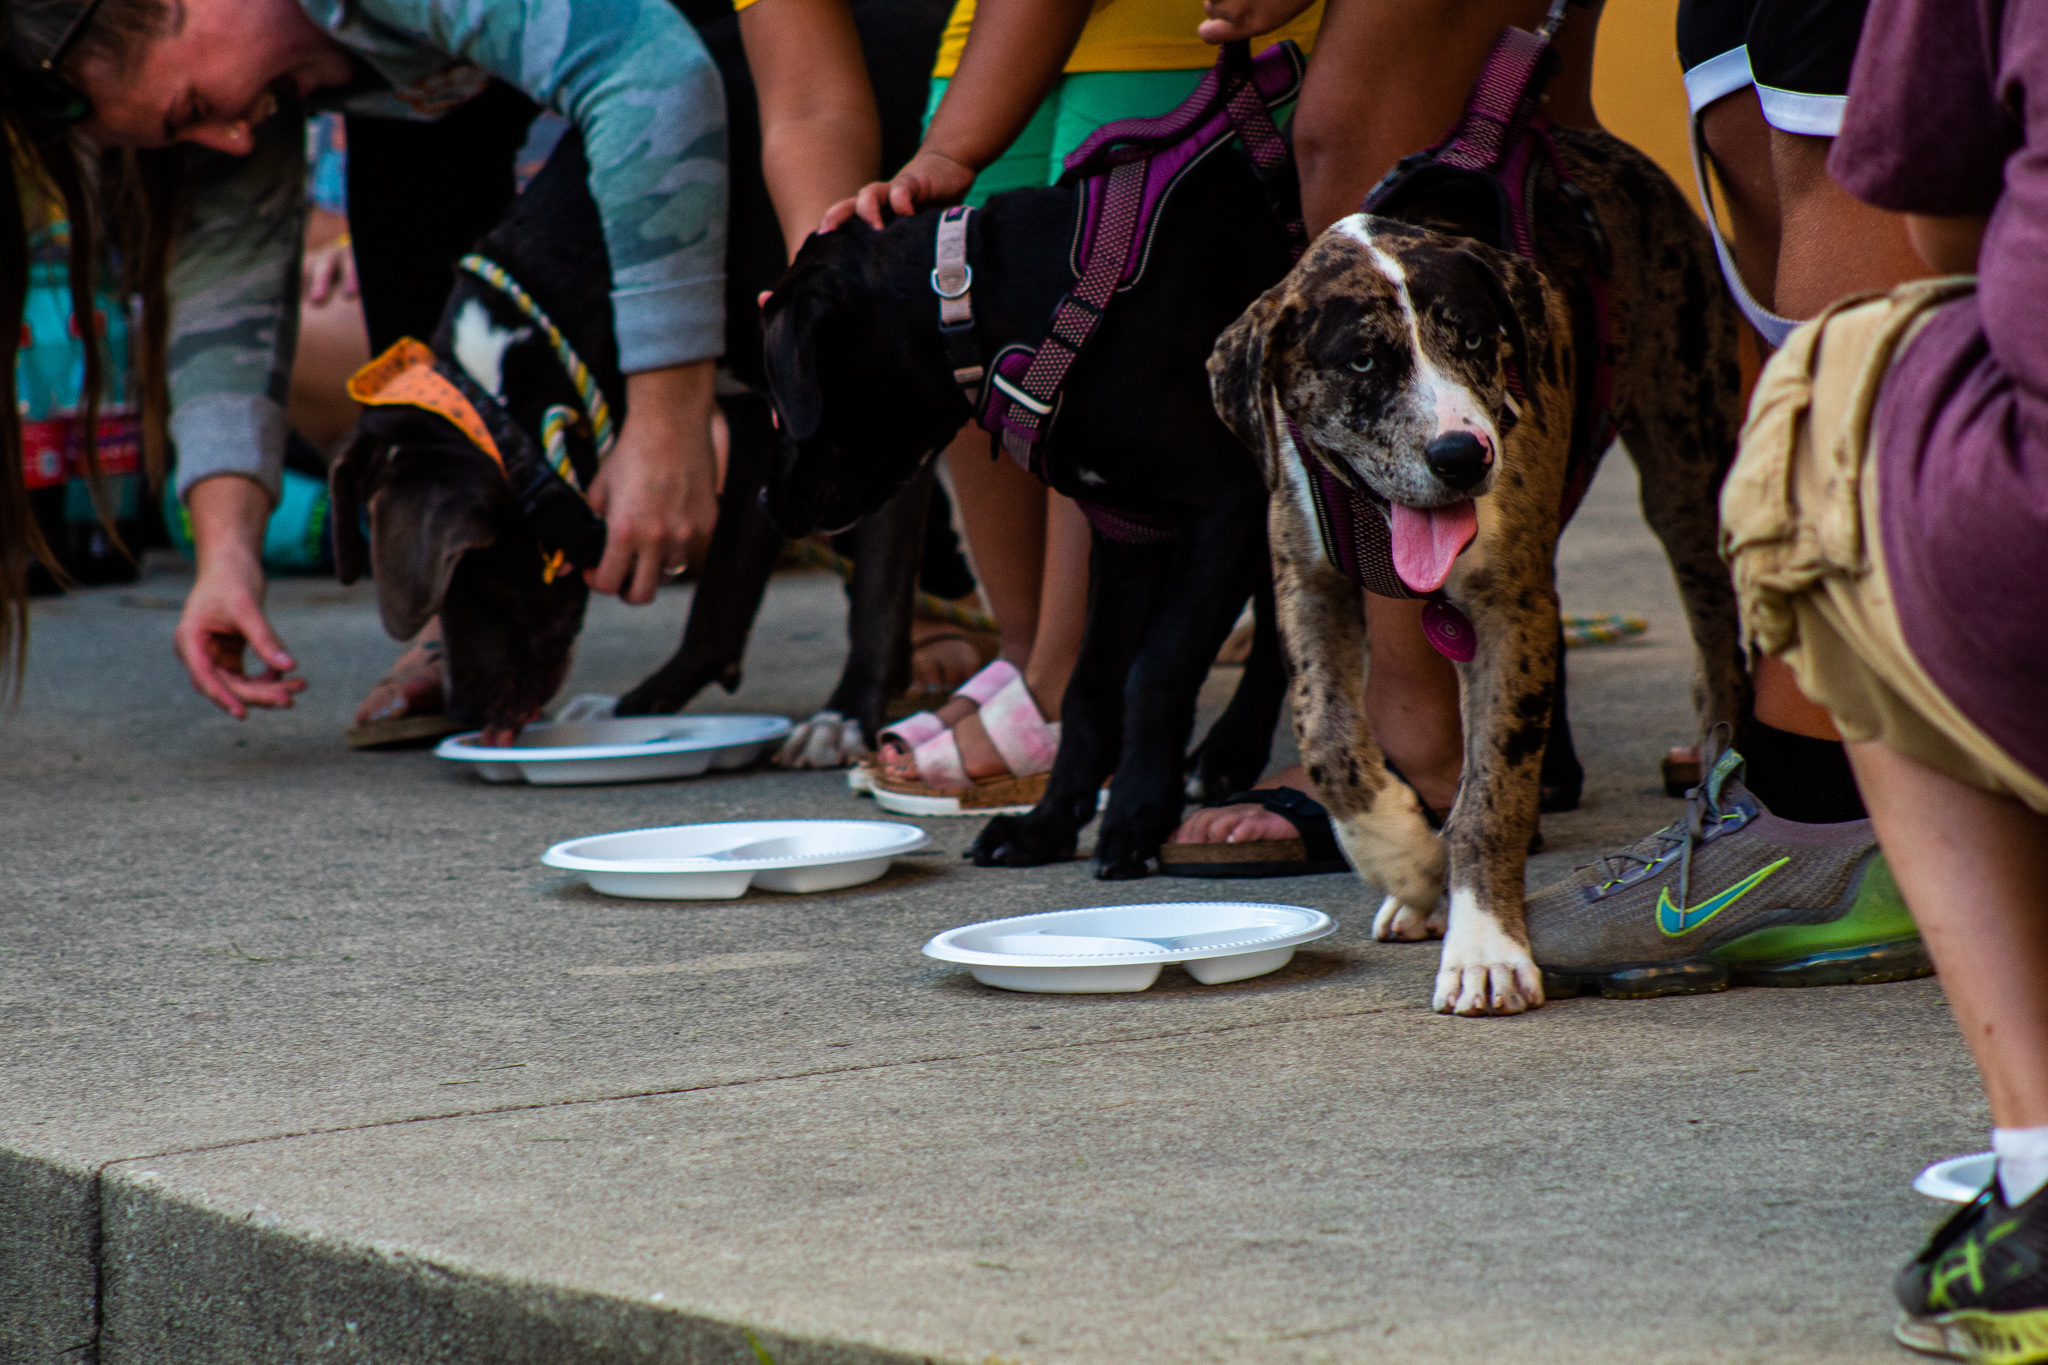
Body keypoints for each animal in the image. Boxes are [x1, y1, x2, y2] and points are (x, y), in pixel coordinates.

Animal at [1204, 101, 1753, 1010]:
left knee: (1717, 638)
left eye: (1471, 338)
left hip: (1686, 454)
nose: (1462, 456)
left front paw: (1484, 944)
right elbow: (1327, 738)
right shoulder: (1306, 580)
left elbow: (1491, 787)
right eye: (1363, 360)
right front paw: (1403, 857)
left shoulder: (1506, 607)